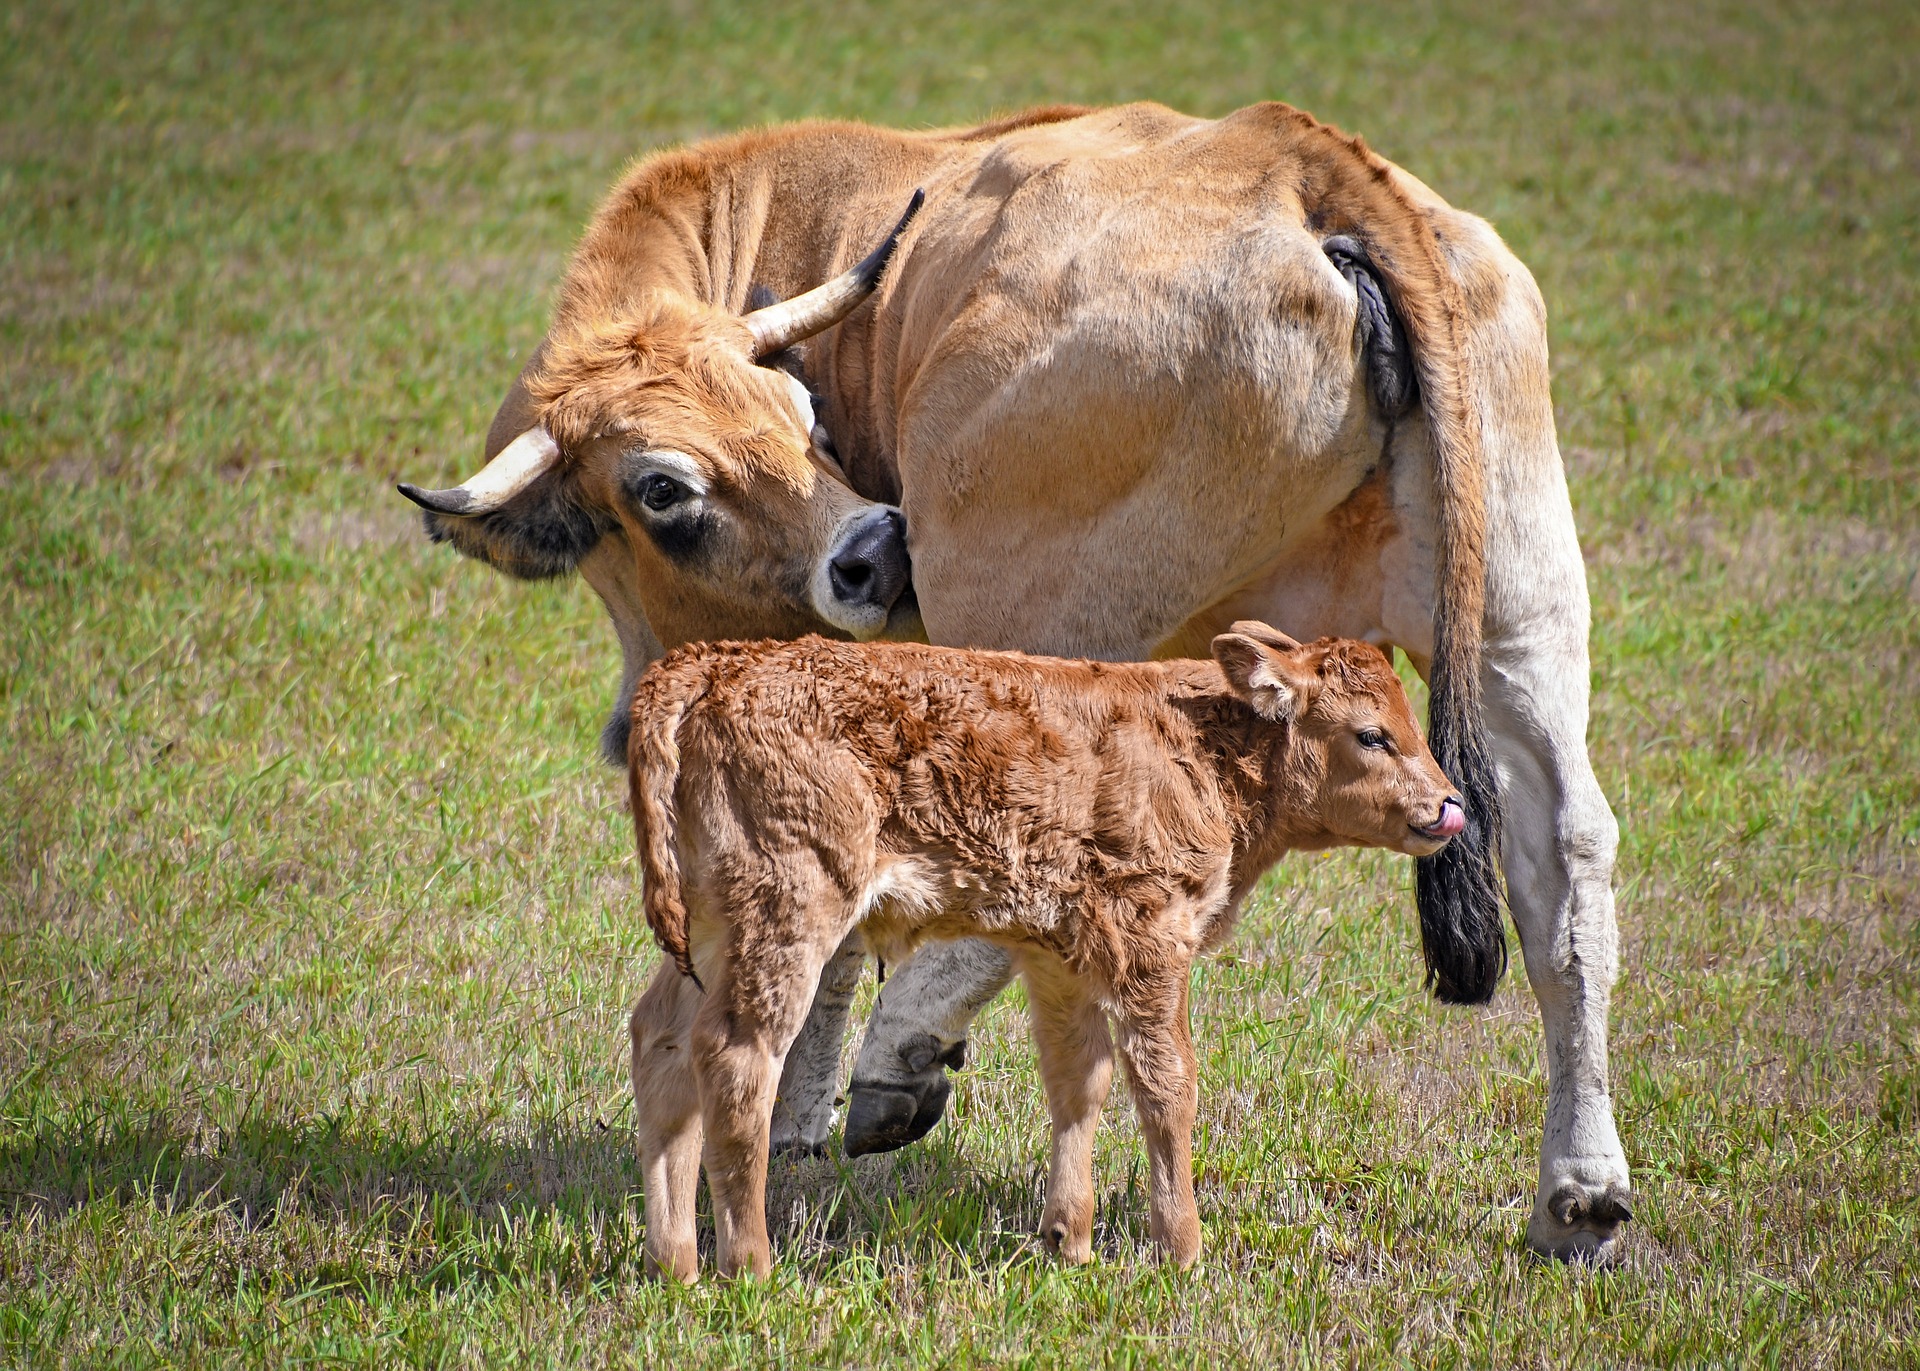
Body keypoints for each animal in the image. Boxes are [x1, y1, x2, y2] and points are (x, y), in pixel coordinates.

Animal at [622, 625, 1459, 1274]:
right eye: (1372, 734)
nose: (1448, 805)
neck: (1202, 746)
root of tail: (716, 663)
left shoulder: (1061, 956)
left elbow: (1078, 1082)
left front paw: (1070, 1240)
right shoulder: (1151, 936)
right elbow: (1167, 1085)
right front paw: (1182, 1247)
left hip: (711, 928)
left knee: (660, 1042)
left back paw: (676, 1263)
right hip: (786, 911)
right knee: (736, 1058)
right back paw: (750, 1263)